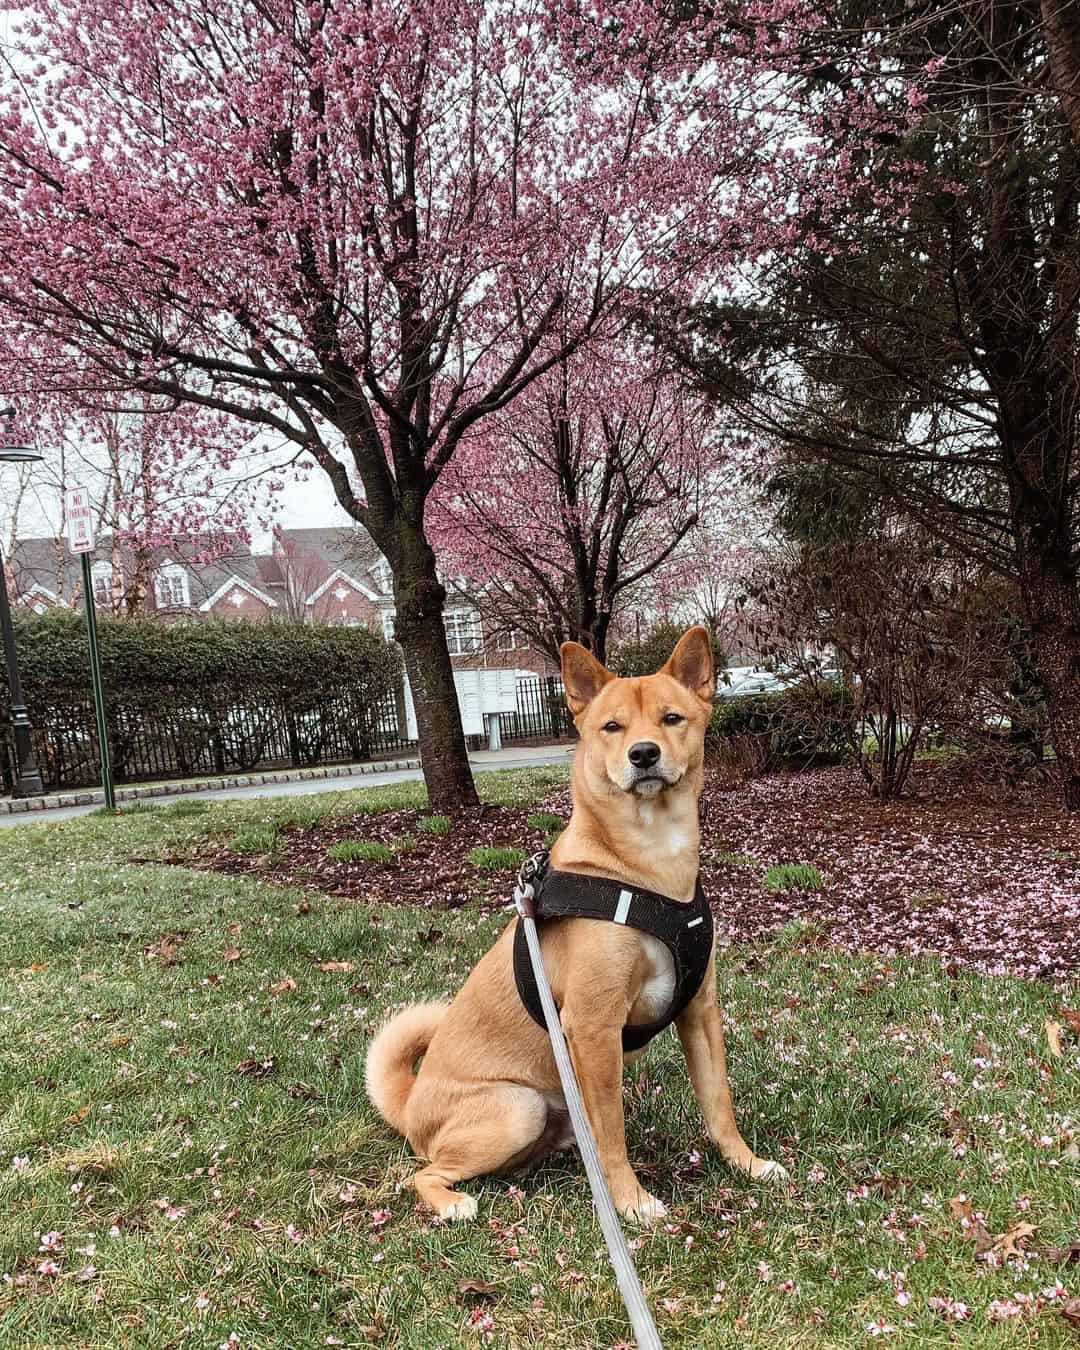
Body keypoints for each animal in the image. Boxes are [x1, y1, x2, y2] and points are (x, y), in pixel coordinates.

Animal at [361, 626, 783, 1220]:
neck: (647, 867)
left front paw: (747, 1164)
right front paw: (630, 1202)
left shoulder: (699, 1011)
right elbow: (611, 1135)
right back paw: (451, 1202)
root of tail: (411, 1105)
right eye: (612, 727)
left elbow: (719, 1104)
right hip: (517, 1106)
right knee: (420, 1174)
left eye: (672, 718)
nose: (644, 754)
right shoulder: (592, 1027)